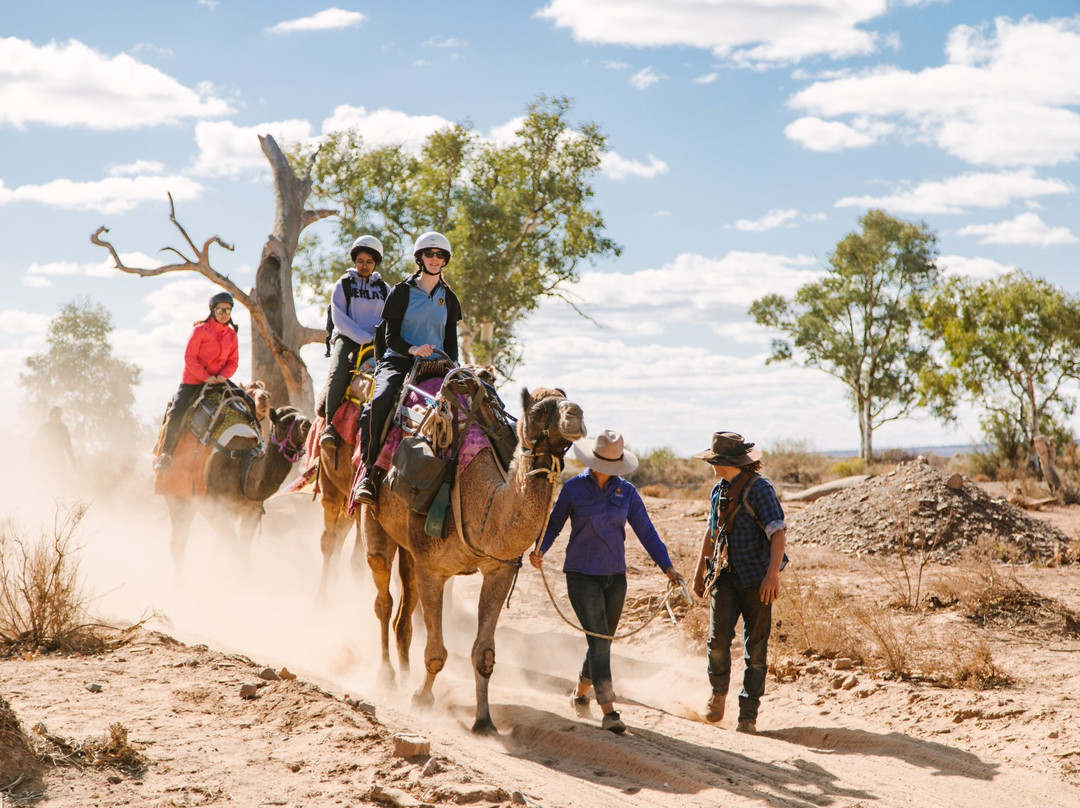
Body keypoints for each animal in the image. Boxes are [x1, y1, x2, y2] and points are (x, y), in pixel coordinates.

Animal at [167, 404, 313, 566]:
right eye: (285, 421)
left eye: (302, 413)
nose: (307, 424)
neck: (244, 468)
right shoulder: (216, 508)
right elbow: (236, 552)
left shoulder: (251, 511)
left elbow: (242, 553)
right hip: (177, 495)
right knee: (178, 543)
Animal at [360, 388, 583, 734]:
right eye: (538, 411)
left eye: (567, 399)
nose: (576, 415)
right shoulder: (433, 569)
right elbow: (436, 653)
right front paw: (422, 700)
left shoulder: (499, 570)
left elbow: (484, 654)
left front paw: (484, 721)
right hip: (375, 518)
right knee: (383, 594)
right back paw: (387, 676)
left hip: (410, 551)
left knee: (403, 611)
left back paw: (405, 675)